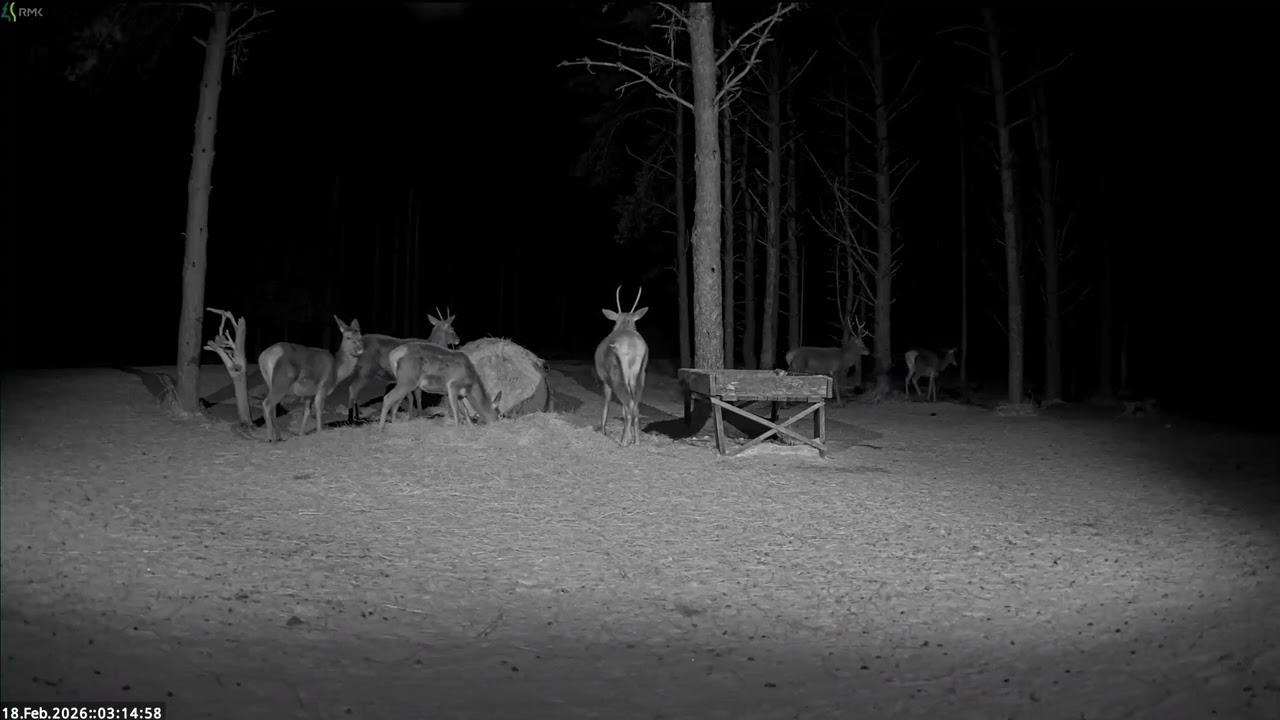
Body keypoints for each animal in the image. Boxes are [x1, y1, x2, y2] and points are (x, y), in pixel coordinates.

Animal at [595, 286, 649, 447]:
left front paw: (603, 431)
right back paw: (636, 441)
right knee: (635, 406)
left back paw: (623, 442)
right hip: (639, 375)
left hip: (617, 374)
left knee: (628, 403)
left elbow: (607, 402)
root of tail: (632, 346)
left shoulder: (604, 379)